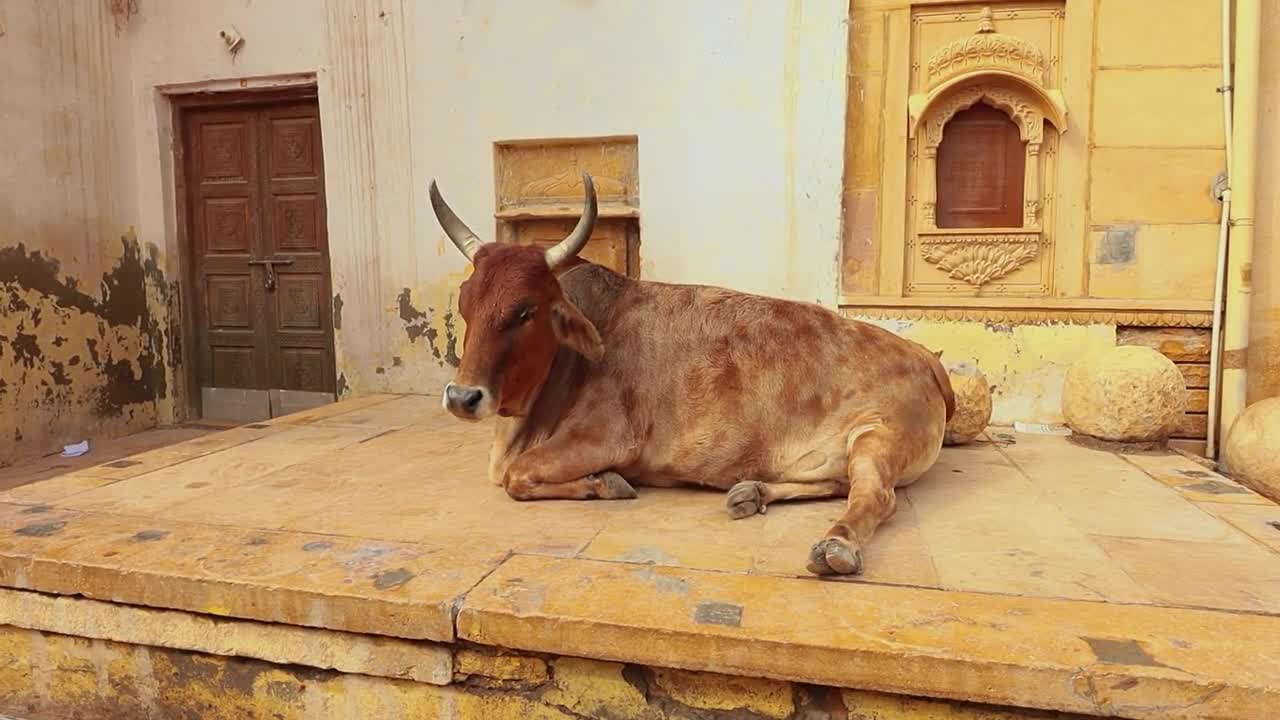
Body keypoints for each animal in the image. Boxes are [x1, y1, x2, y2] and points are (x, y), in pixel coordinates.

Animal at [430, 170, 952, 573]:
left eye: (525, 311)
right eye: (465, 303)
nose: (461, 397)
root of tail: (924, 355)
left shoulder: (606, 438)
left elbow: (516, 477)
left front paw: (606, 483)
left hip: (877, 436)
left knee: (874, 497)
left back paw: (835, 546)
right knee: (838, 484)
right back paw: (750, 493)